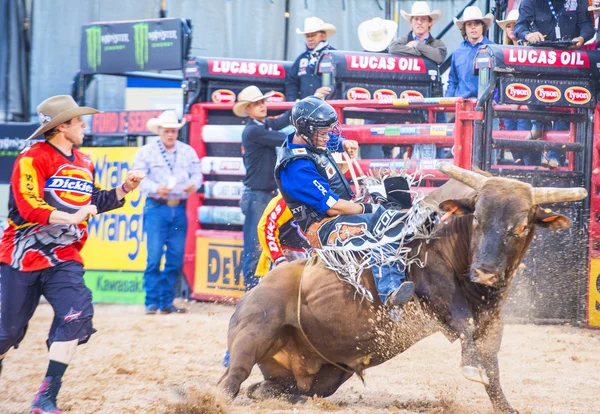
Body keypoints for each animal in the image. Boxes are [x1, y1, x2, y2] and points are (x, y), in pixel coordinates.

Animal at [219, 163, 584, 412]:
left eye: (520, 227)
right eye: (478, 219)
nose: (486, 272)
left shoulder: (492, 317)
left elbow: (491, 362)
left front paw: (505, 405)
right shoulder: (436, 287)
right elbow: (464, 325)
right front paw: (470, 367)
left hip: (318, 376)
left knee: (277, 389)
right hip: (254, 330)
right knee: (232, 379)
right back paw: (219, 396)